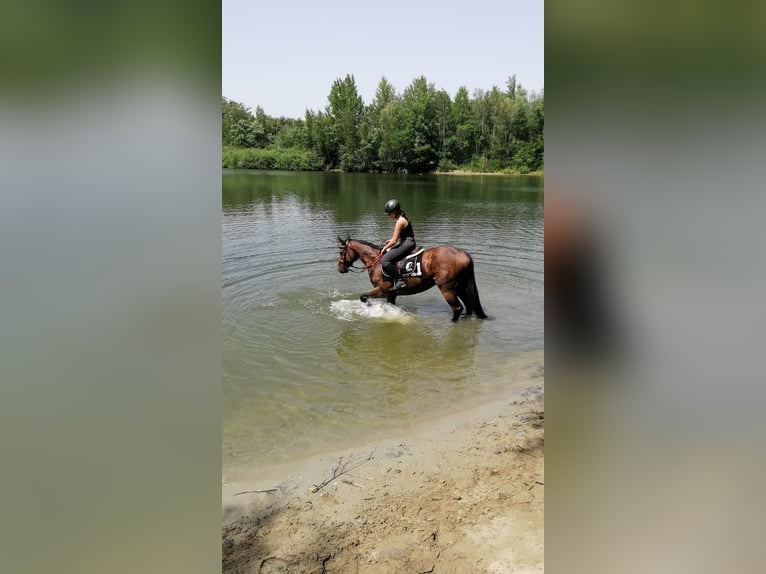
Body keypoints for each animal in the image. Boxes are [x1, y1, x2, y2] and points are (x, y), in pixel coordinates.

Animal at [340, 235, 488, 324]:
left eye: (341, 252)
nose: (340, 268)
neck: (376, 261)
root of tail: (464, 254)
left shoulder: (383, 290)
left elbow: (363, 297)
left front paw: (370, 307)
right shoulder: (391, 294)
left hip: (447, 288)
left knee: (457, 307)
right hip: (459, 287)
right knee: (468, 305)